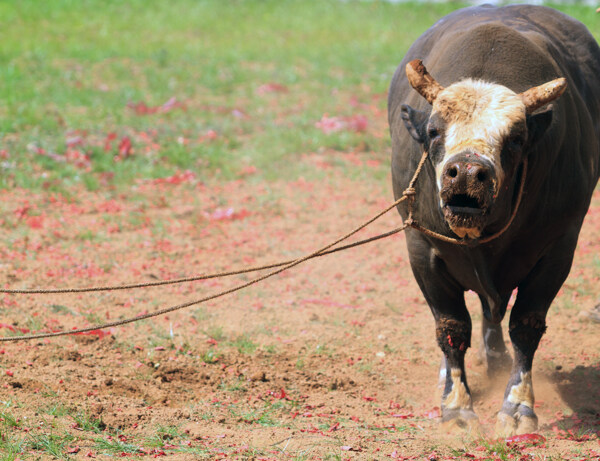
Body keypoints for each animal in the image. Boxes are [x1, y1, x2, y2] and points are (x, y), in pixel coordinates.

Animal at [390, 4, 600, 434]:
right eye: (433, 131)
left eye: (516, 138)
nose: (467, 173)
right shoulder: (421, 248)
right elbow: (451, 327)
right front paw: (456, 405)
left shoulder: (559, 247)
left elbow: (526, 325)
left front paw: (518, 405)